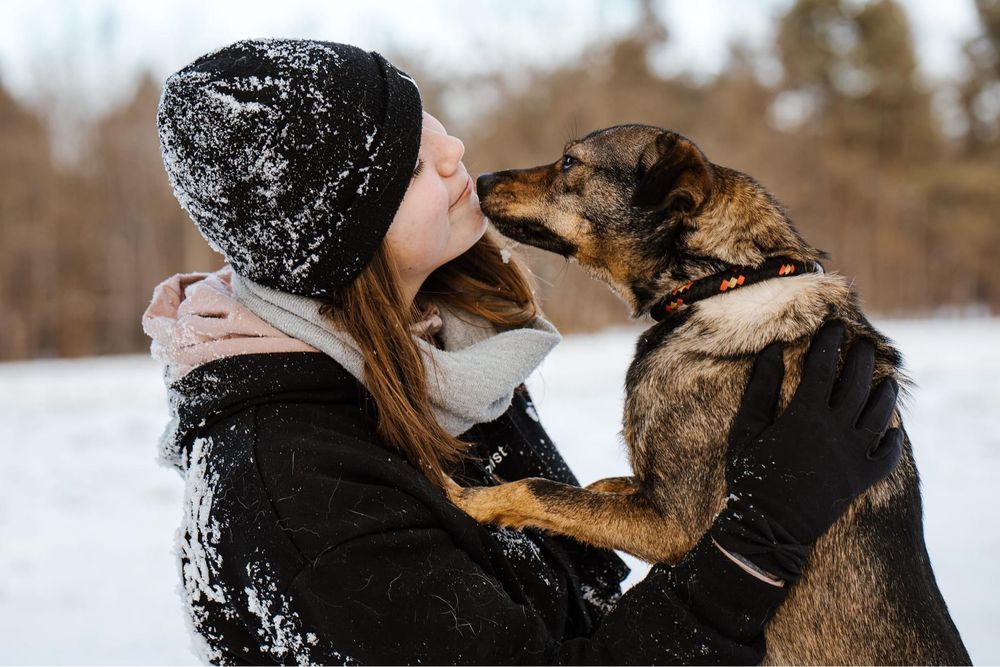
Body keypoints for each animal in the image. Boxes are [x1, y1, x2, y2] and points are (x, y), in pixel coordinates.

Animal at [450, 126, 972, 667]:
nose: (480, 178)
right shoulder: (649, 493)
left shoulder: (674, 527)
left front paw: (471, 500)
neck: (721, 281)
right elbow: (591, 490)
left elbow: (539, 489)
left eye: (570, 162)